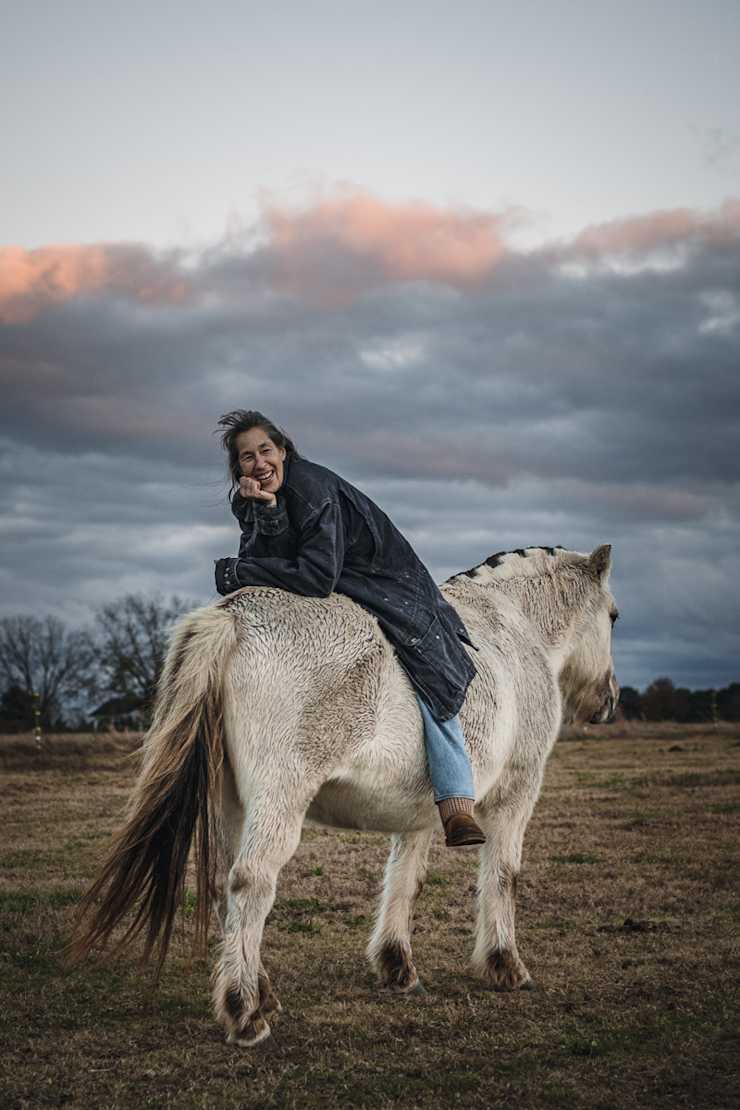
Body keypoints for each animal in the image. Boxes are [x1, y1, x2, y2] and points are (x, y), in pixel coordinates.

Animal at [70, 543, 619, 1046]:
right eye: (613, 616)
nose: (609, 700)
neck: (515, 630)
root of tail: (235, 618)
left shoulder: (422, 813)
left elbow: (405, 880)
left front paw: (397, 966)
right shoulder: (516, 793)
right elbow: (503, 875)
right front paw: (505, 965)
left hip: (235, 805)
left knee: (231, 888)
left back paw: (260, 992)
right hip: (279, 802)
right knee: (251, 882)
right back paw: (245, 1012)